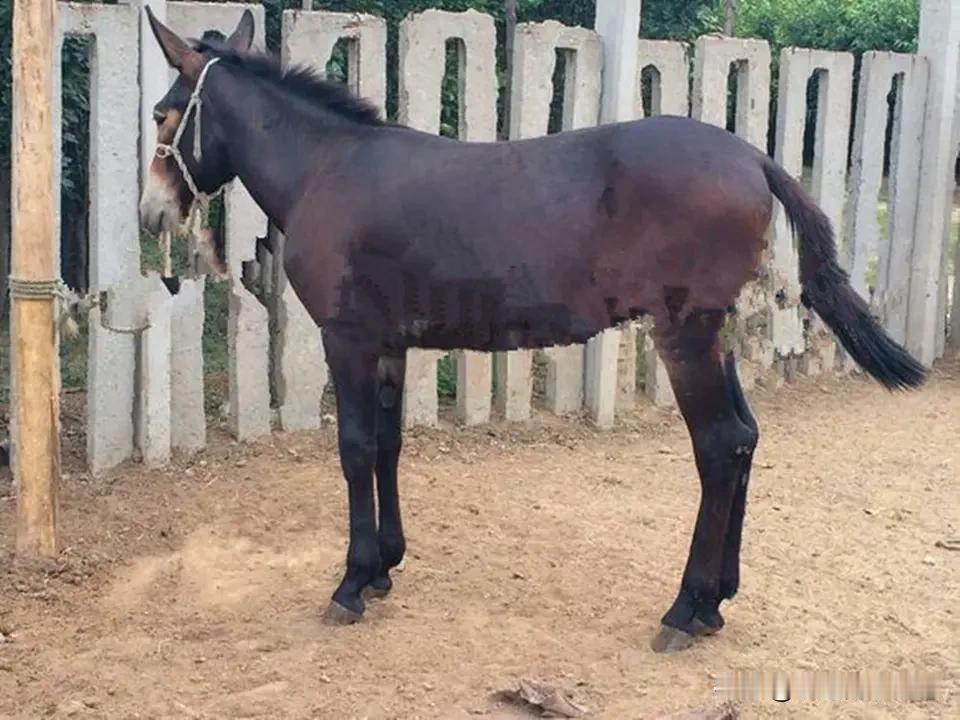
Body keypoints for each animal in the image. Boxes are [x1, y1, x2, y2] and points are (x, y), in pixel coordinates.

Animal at [138, 9, 926, 652]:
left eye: (162, 115)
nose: (151, 214)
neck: (326, 170)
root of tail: (753, 155)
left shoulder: (348, 338)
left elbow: (356, 449)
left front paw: (352, 582)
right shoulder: (389, 344)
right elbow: (389, 446)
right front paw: (386, 566)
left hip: (685, 334)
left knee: (721, 445)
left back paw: (686, 608)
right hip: (716, 334)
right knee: (746, 438)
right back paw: (717, 602)